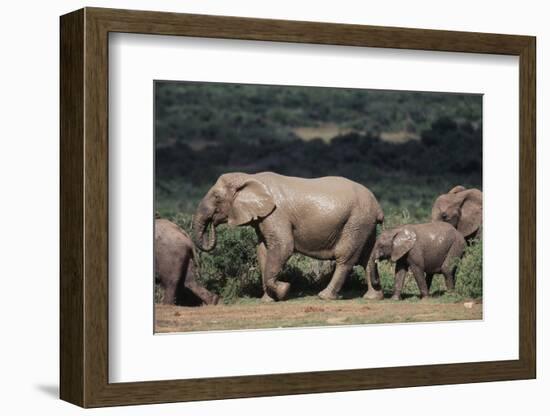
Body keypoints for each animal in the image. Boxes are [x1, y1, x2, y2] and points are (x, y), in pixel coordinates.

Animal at [195, 172, 388, 302]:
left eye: (216, 197)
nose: (213, 223)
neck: (250, 177)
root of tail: (378, 207)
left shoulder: (276, 214)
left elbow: (283, 246)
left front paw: (284, 290)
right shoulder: (263, 218)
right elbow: (263, 251)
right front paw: (268, 300)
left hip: (356, 221)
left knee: (346, 258)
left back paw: (324, 296)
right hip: (364, 223)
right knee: (367, 257)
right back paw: (373, 297)